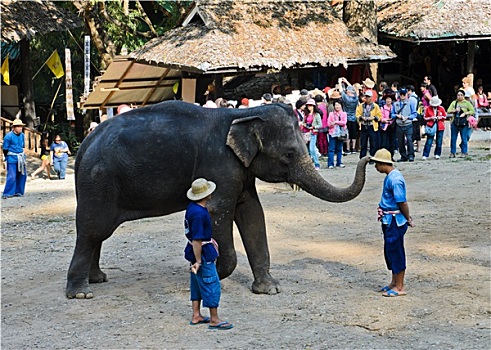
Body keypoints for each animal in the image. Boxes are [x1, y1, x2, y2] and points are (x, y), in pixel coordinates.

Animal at [67, 100, 370, 298]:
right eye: (288, 154)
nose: (368, 156)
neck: (242, 115)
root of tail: (85, 144)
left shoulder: (241, 171)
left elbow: (252, 214)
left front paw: (269, 289)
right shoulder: (219, 165)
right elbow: (218, 213)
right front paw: (206, 272)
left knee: (98, 233)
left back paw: (97, 279)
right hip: (99, 180)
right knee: (93, 229)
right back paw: (80, 293)